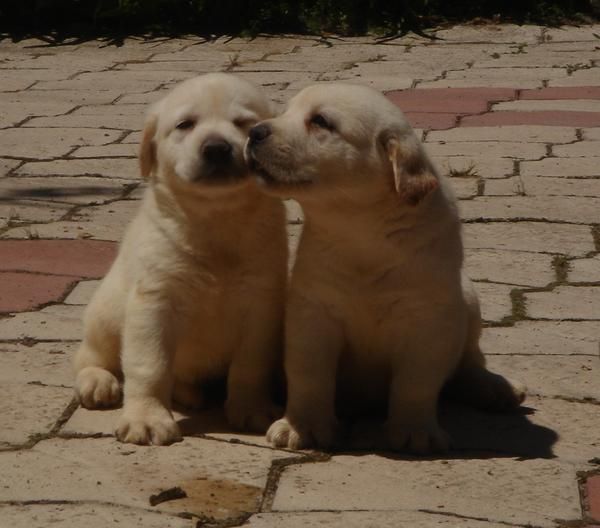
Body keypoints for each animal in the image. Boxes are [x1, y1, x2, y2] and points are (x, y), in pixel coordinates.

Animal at [72, 73, 288, 446]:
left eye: (244, 125)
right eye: (185, 125)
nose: (216, 148)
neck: (216, 219)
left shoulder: (262, 302)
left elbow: (251, 364)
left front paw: (252, 407)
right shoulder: (154, 301)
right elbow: (150, 366)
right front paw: (146, 418)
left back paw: (189, 393)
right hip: (104, 313)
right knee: (89, 356)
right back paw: (97, 381)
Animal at [244, 82, 524, 454]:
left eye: (320, 121)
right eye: (284, 112)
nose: (254, 132)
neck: (362, 228)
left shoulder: (428, 320)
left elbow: (416, 382)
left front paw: (415, 432)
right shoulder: (313, 311)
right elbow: (309, 373)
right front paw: (302, 427)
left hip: (468, 298)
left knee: (469, 361)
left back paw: (496, 389)